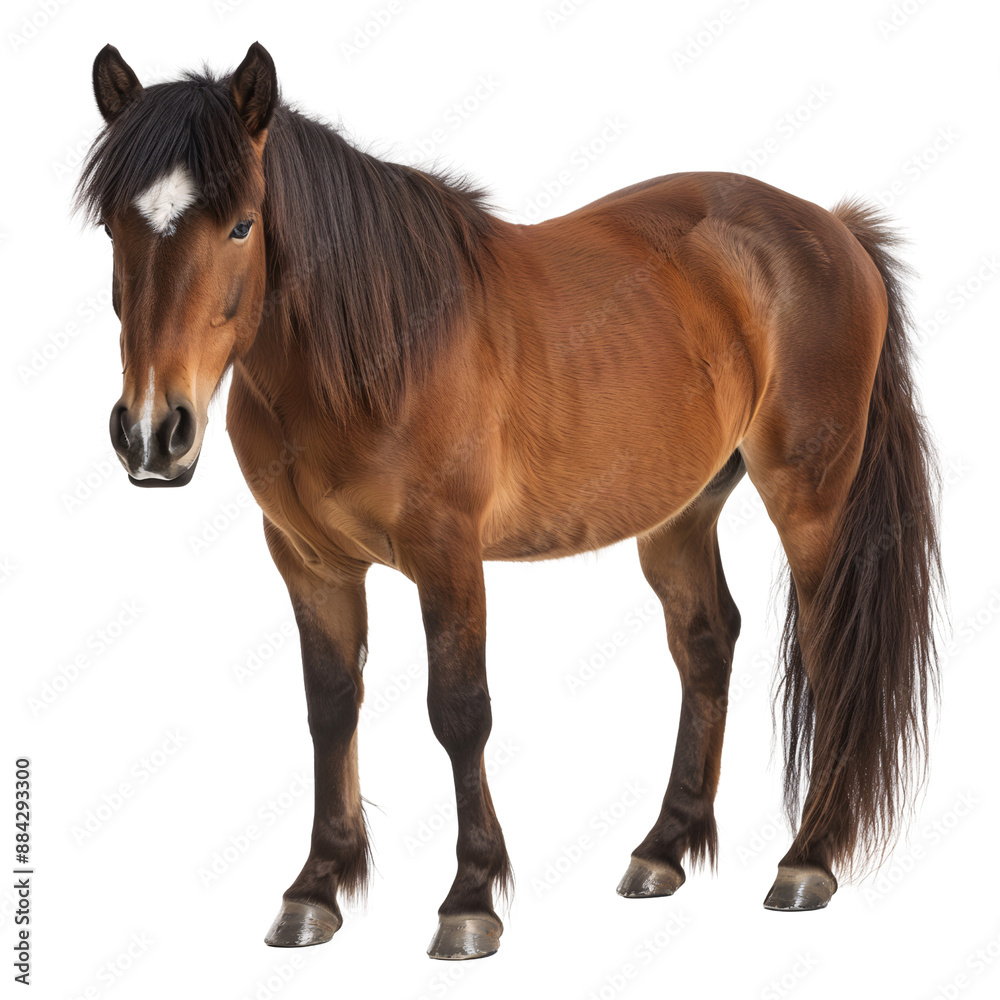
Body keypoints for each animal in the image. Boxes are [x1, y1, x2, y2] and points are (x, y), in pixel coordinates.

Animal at [77, 42, 941, 960]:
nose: (151, 431)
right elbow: (330, 710)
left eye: (242, 224)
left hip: (809, 500)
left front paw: (470, 898)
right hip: (679, 515)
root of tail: (833, 228)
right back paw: (663, 848)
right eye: (114, 228)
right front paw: (317, 888)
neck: (375, 348)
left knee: (828, 649)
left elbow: (459, 714)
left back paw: (807, 859)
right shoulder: (311, 564)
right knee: (706, 643)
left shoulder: (448, 557)